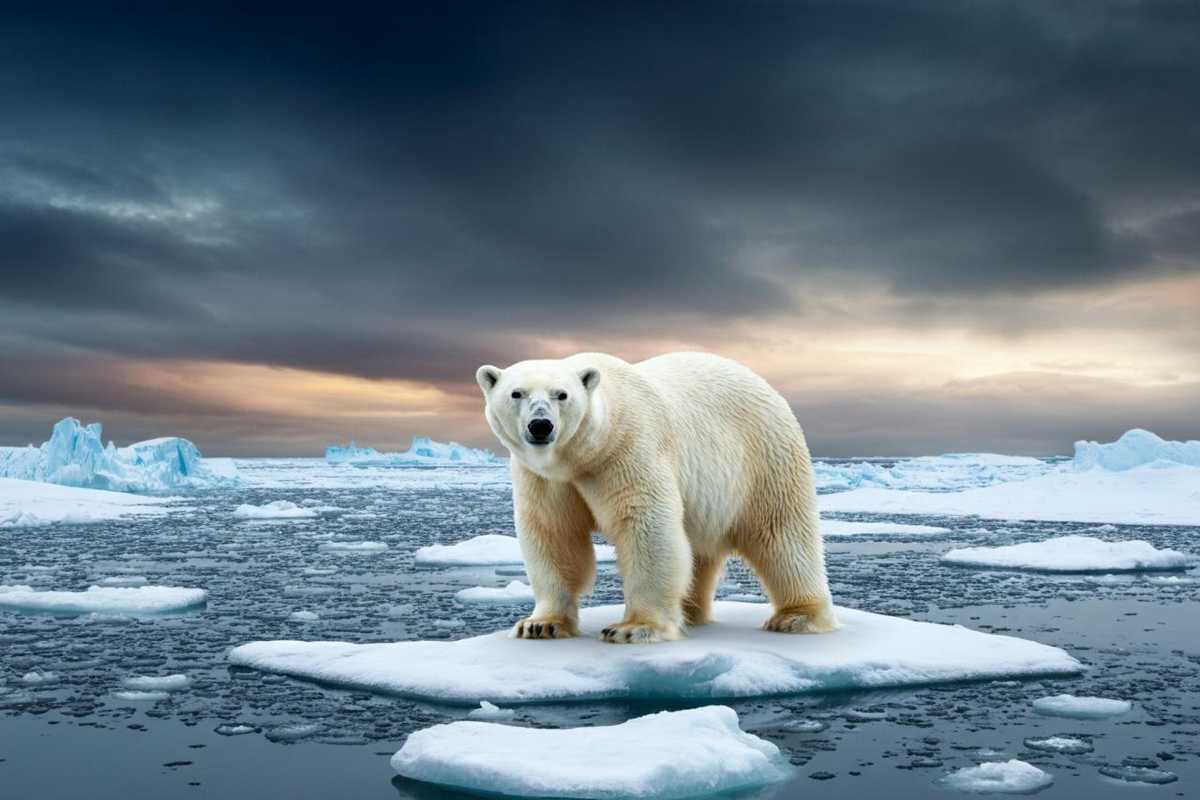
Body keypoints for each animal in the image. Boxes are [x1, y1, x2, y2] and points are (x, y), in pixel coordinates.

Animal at [475, 351, 837, 644]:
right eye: (516, 393)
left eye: (561, 395)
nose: (541, 425)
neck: (582, 456)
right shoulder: (544, 479)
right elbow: (553, 533)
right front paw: (539, 624)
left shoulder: (627, 450)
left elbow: (646, 526)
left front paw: (633, 628)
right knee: (699, 550)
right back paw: (691, 613)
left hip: (763, 459)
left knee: (782, 535)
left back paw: (797, 617)